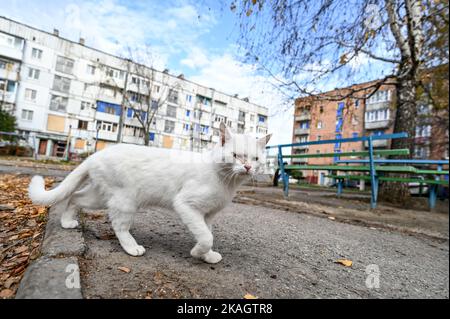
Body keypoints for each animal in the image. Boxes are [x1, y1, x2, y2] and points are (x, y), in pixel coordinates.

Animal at [30, 124, 274, 264]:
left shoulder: (207, 215)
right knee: (119, 225)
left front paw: (206, 256)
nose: (248, 167)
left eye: (255, 159)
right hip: (125, 200)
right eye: (236, 155)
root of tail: (97, 154)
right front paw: (198, 253)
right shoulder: (186, 205)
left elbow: (207, 233)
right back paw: (132, 247)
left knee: (75, 197)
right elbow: (205, 237)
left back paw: (67, 222)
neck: (226, 182)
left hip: (100, 196)